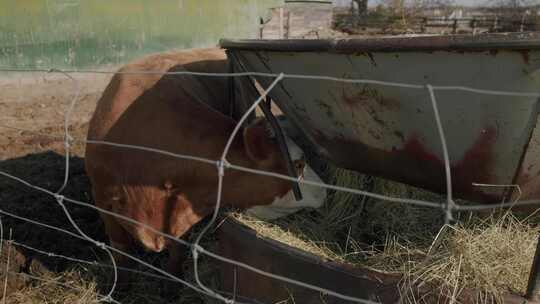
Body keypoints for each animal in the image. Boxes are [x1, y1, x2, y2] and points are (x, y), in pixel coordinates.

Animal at [86, 48, 302, 280]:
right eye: (299, 164)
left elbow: (178, 250)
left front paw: (173, 279)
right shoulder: (101, 196)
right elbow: (120, 249)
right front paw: (122, 282)